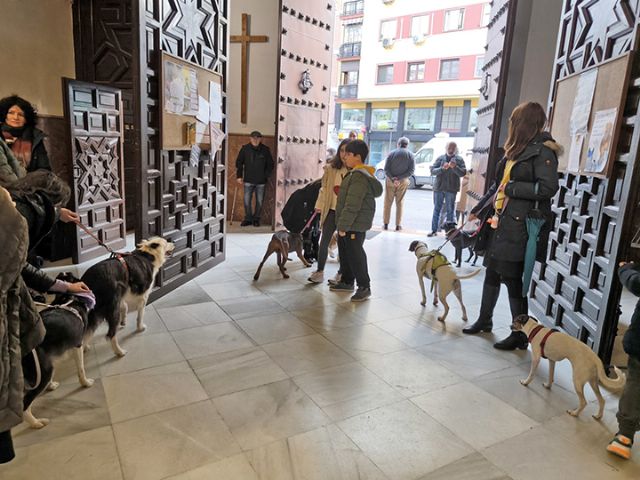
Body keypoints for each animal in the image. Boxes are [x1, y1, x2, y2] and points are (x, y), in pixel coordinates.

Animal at [22, 274, 96, 428]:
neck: (69, 300)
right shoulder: (78, 344)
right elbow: (81, 368)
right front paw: (86, 383)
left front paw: (52, 385)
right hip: (44, 371)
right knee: (25, 404)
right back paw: (36, 423)